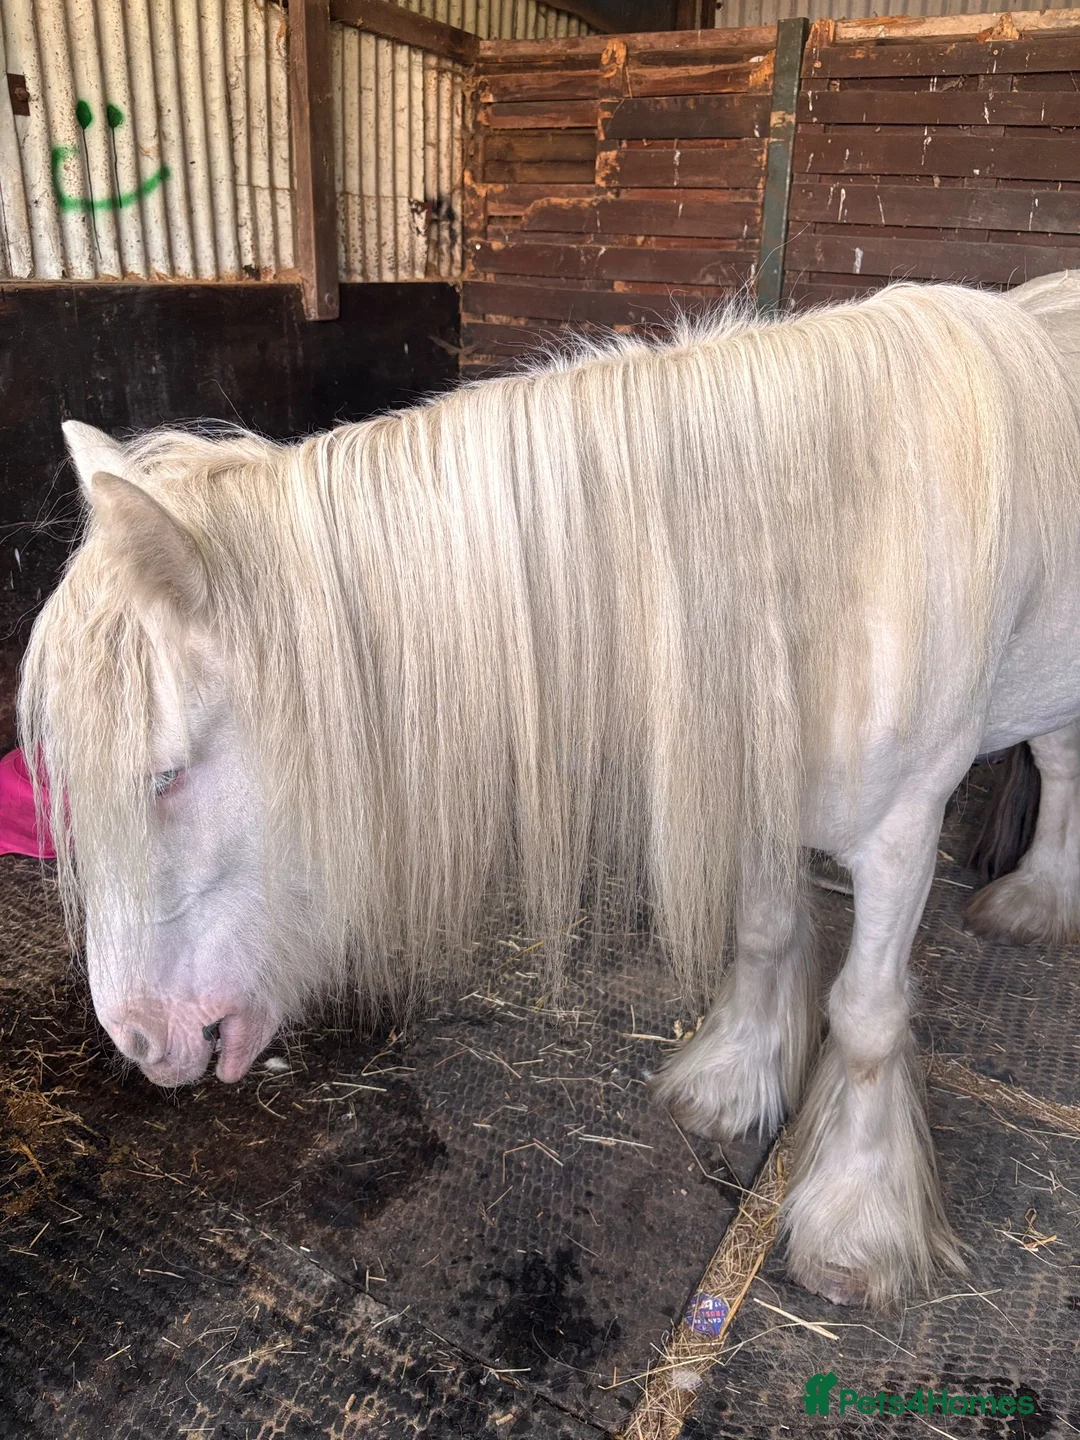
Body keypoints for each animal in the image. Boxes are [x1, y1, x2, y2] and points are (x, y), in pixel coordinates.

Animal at [19, 272, 1080, 1312]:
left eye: (164, 776)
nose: (137, 1037)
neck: (822, 562)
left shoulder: (902, 831)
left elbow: (865, 1015)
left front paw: (856, 1224)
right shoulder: (752, 788)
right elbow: (764, 932)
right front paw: (731, 1086)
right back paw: (1039, 901)